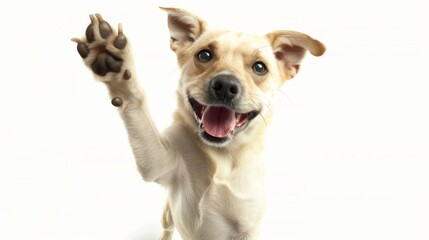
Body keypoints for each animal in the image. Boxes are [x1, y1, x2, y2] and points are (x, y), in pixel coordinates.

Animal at [72, 6, 324, 239]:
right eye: (204, 55)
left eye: (260, 67)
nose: (225, 85)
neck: (222, 155)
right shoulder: (158, 163)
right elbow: (136, 104)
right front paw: (114, 63)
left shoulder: (247, 227)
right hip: (167, 212)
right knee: (167, 229)